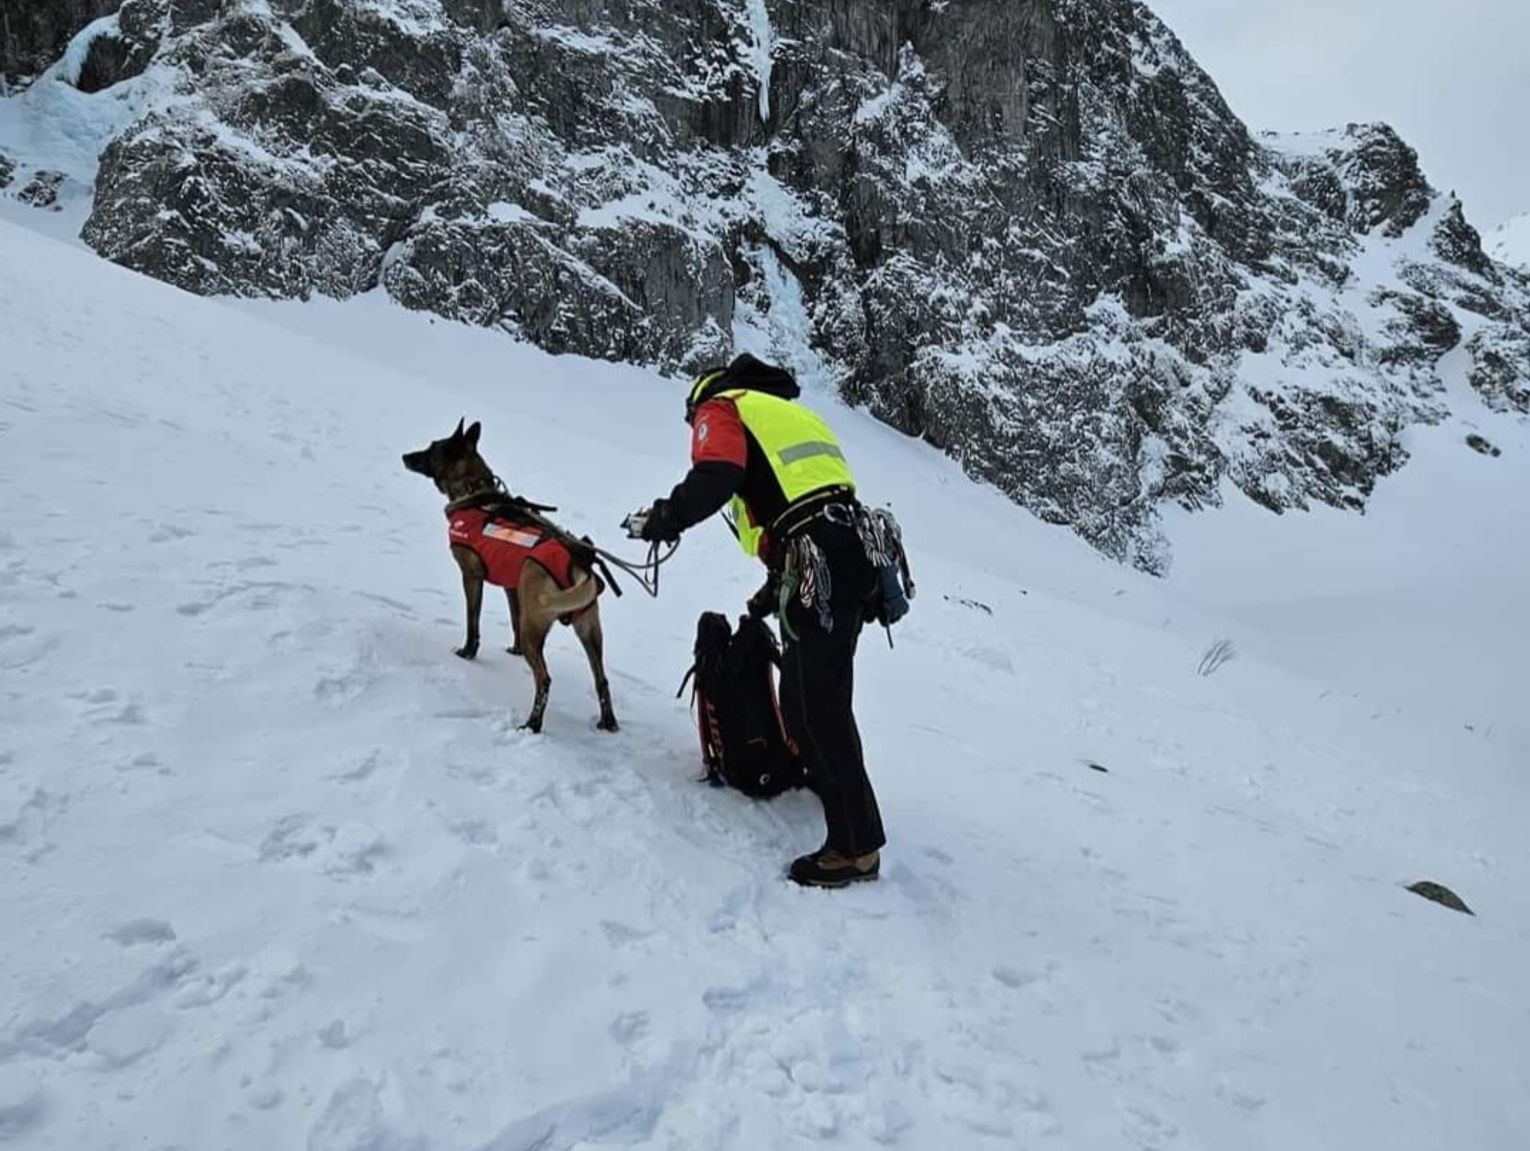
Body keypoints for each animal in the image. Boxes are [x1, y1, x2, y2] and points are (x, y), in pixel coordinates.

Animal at [410, 419, 624, 731]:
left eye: (431, 448)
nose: (406, 457)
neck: (472, 494)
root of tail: (576, 565)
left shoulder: (471, 576)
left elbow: (472, 622)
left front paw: (467, 652)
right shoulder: (512, 588)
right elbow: (512, 618)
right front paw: (513, 650)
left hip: (535, 627)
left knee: (544, 679)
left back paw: (532, 724)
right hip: (589, 631)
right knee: (602, 680)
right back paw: (608, 722)